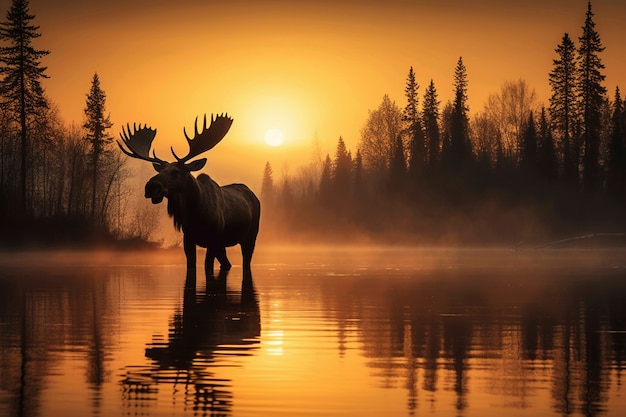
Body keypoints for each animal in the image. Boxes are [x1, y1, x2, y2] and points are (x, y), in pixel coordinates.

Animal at [116, 113, 258, 280]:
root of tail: (253, 195)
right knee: (227, 263)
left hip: (250, 237)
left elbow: (207, 266)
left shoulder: (213, 240)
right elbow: (191, 266)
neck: (195, 214)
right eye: (160, 170)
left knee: (245, 261)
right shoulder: (188, 239)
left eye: (176, 171)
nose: (151, 187)